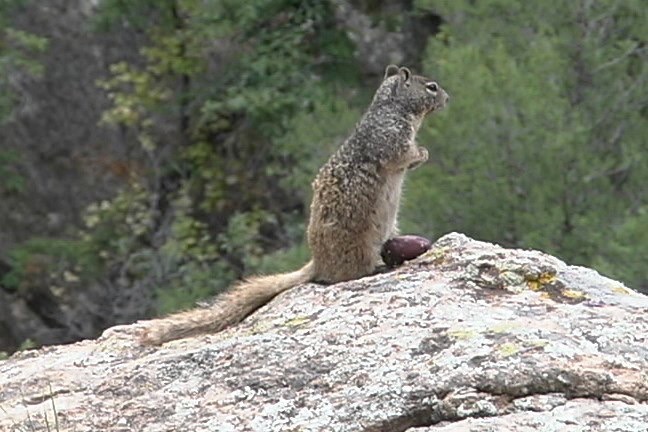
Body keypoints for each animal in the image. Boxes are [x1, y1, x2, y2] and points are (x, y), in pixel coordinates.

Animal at [139, 65, 448, 344]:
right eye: (431, 87)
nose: (447, 97)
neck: (391, 108)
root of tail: (317, 264)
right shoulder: (392, 140)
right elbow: (406, 155)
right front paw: (424, 152)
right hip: (359, 249)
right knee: (347, 275)